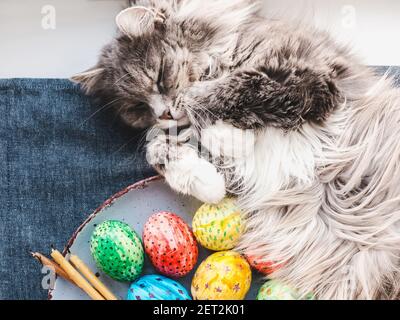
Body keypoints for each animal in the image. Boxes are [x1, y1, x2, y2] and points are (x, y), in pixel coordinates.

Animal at [72, 0, 400, 300]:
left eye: (161, 77)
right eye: (137, 108)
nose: (163, 114)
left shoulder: (310, 80)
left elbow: (215, 95)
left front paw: (221, 134)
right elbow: (164, 152)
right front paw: (210, 168)